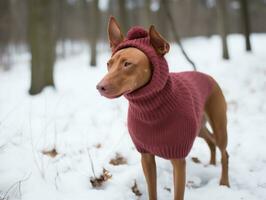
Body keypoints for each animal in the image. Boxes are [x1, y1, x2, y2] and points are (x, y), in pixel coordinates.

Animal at [96, 16, 230, 199]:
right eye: (108, 64)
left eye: (127, 64)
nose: (99, 87)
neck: (151, 108)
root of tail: (206, 76)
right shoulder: (146, 157)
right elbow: (152, 190)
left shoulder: (179, 159)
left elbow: (178, 194)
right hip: (198, 128)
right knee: (211, 141)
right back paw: (211, 165)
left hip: (219, 125)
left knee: (224, 151)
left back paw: (224, 183)